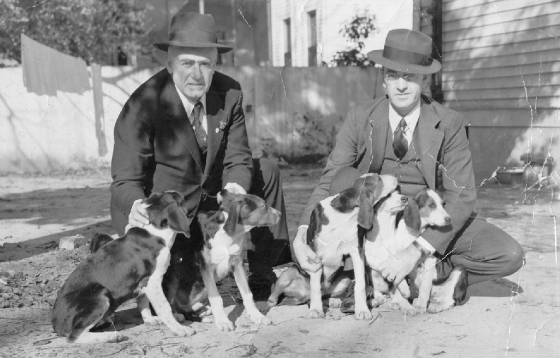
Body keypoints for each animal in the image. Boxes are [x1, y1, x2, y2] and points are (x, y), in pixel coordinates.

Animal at [50, 192, 195, 342]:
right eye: (184, 200)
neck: (155, 232)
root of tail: (56, 325)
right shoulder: (152, 281)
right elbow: (164, 306)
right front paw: (179, 329)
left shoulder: (144, 283)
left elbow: (143, 301)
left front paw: (151, 320)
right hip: (100, 296)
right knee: (74, 337)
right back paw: (111, 336)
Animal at [158, 189, 280, 332]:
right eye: (264, 206)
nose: (280, 214)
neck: (229, 235)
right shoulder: (206, 268)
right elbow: (216, 298)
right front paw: (223, 321)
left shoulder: (237, 264)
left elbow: (247, 294)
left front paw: (257, 316)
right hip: (172, 277)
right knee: (170, 305)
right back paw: (178, 316)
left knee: (186, 306)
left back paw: (203, 310)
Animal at [300, 173, 396, 318]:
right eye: (379, 179)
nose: (395, 177)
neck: (345, 215)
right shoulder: (315, 257)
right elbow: (315, 287)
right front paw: (316, 310)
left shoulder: (357, 251)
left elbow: (360, 284)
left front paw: (362, 310)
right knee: (320, 293)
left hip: (345, 279)